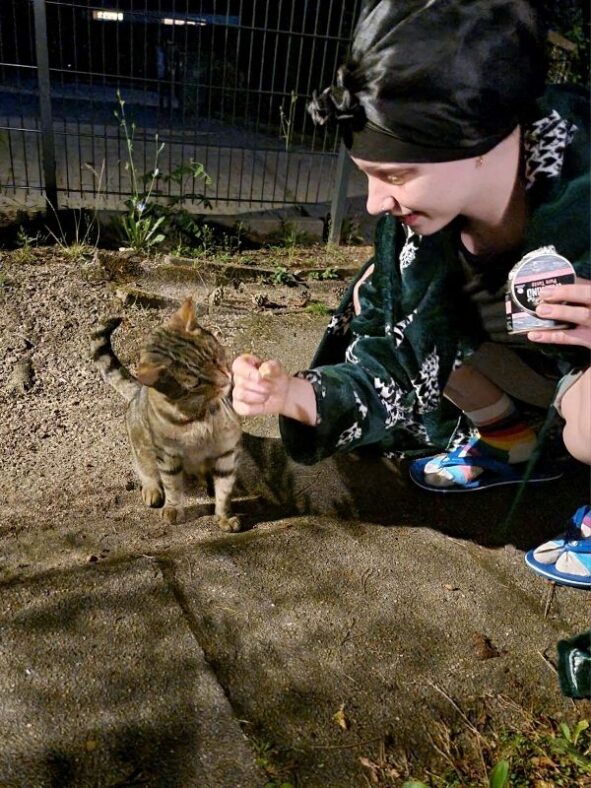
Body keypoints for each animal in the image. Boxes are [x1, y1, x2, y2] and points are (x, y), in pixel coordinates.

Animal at [91, 298, 243, 532]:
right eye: (196, 383)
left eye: (215, 357)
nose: (227, 380)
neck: (200, 415)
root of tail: (139, 390)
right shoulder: (168, 454)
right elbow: (172, 485)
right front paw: (173, 509)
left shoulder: (225, 450)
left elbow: (224, 490)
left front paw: (224, 516)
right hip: (142, 447)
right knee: (146, 469)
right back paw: (152, 489)